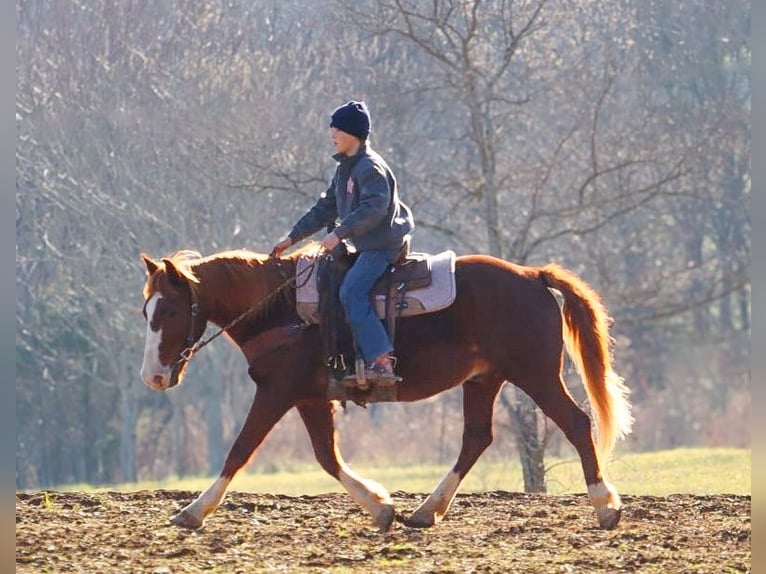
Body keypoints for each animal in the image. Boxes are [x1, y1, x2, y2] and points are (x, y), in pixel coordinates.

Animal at [139, 245, 633, 531]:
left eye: (168, 312)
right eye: (147, 311)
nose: (153, 377)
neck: (280, 308)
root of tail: (532, 276)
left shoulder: (277, 391)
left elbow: (240, 450)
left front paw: (192, 511)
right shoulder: (310, 398)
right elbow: (327, 457)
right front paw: (380, 507)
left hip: (535, 375)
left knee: (577, 423)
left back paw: (605, 507)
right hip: (484, 380)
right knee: (476, 438)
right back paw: (426, 510)